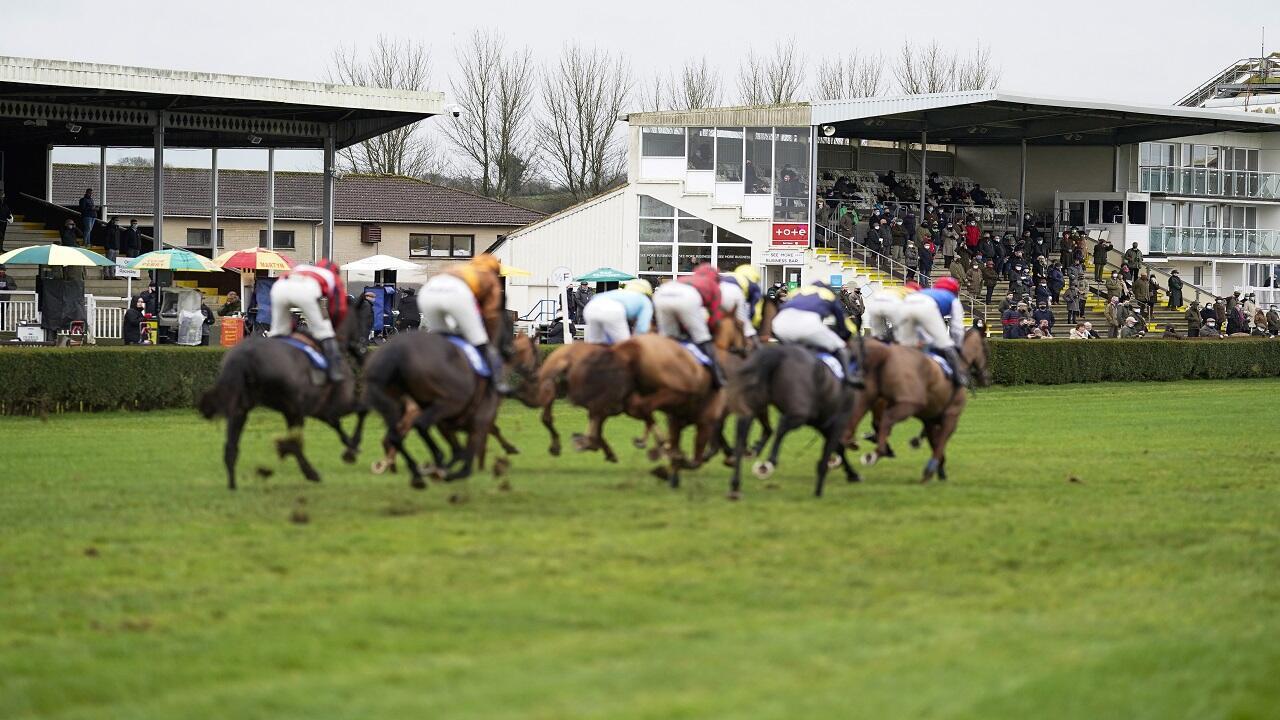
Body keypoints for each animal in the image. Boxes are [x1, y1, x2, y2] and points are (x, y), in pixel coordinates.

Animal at [197, 295, 373, 486]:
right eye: (366, 319)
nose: (365, 352)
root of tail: (244, 357)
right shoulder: (337, 403)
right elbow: (363, 410)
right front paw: (352, 448)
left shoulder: (320, 409)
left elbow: (337, 423)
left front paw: (351, 447)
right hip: (293, 410)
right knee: (293, 444)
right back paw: (311, 473)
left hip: (242, 408)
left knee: (232, 447)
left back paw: (233, 485)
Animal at [732, 343, 860, 499]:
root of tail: (778, 353)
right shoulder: (837, 422)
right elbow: (830, 453)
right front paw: (819, 490)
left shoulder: (822, 425)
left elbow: (839, 448)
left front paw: (852, 474)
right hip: (800, 412)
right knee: (781, 425)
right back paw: (768, 462)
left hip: (753, 405)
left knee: (741, 434)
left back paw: (736, 483)